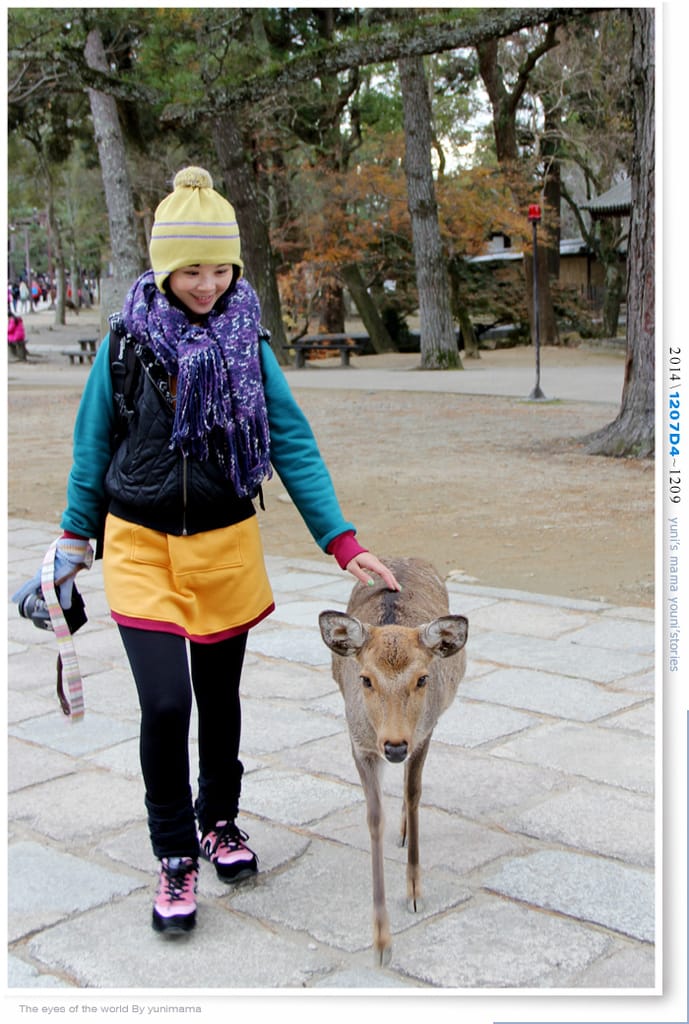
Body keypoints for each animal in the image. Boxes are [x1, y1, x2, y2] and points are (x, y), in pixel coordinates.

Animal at [319, 557, 468, 965]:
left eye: (423, 678)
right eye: (366, 679)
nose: (395, 746)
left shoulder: (425, 733)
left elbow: (415, 795)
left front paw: (415, 892)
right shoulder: (359, 745)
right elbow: (373, 818)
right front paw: (382, 941)